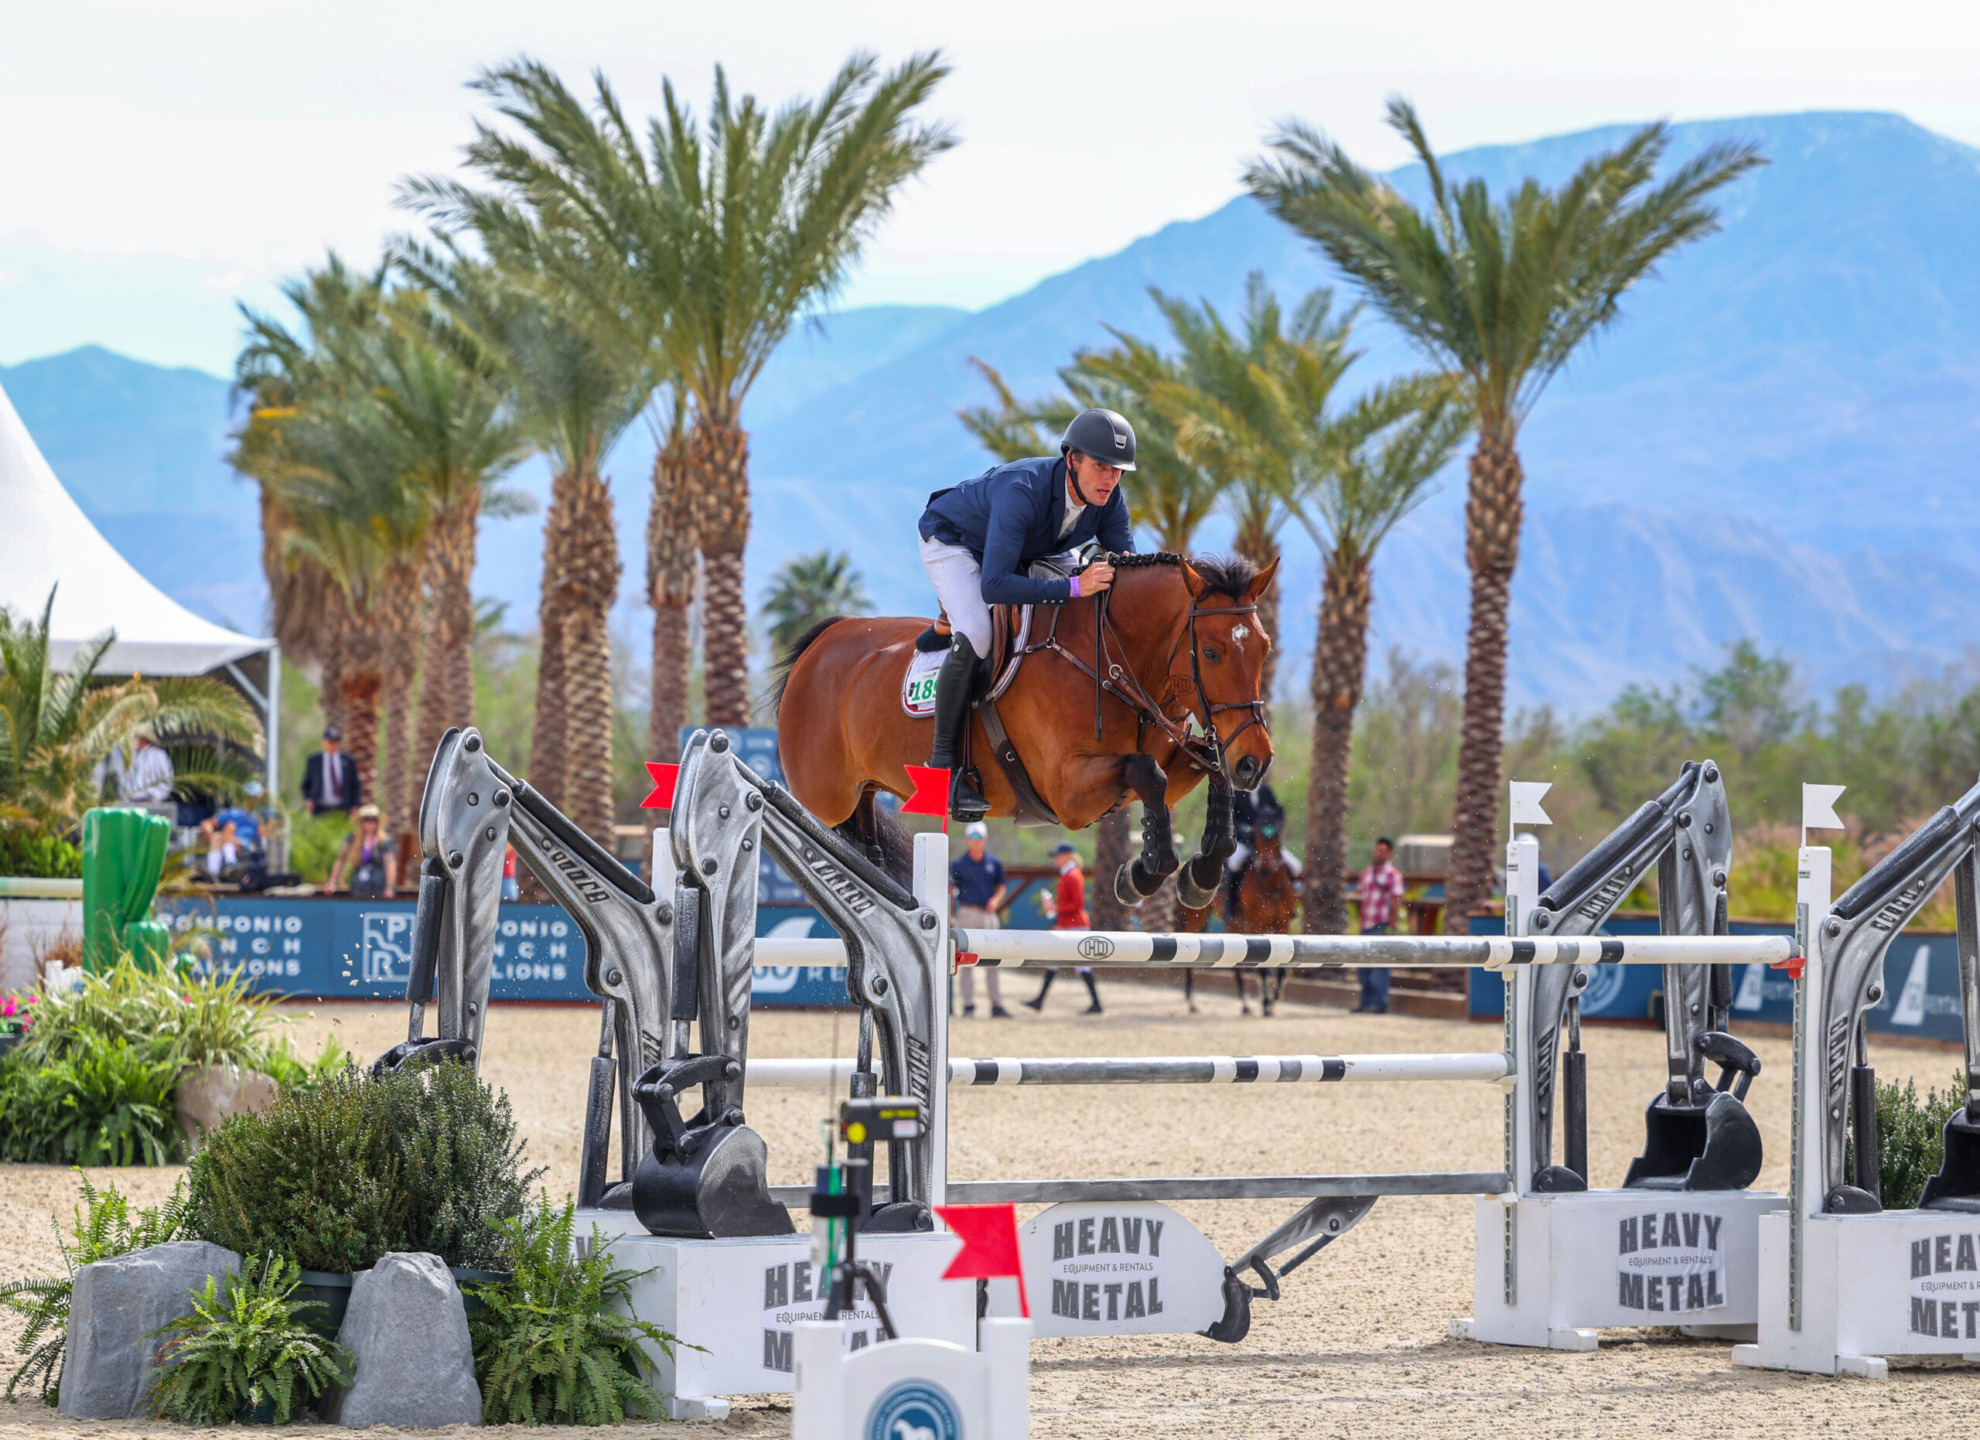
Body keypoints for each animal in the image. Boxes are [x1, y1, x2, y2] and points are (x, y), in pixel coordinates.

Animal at [764, 554, 1275, 907]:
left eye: (1264, 648)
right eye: (1210, 652)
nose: (1257, 762)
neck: (1109, 657)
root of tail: (824, 640)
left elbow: (1206, 770)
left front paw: (1201, 873)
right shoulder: (1066, 792)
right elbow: (1149, 772)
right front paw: (1144, 874)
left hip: (864, 791)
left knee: (865, 846)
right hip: (824, 801)